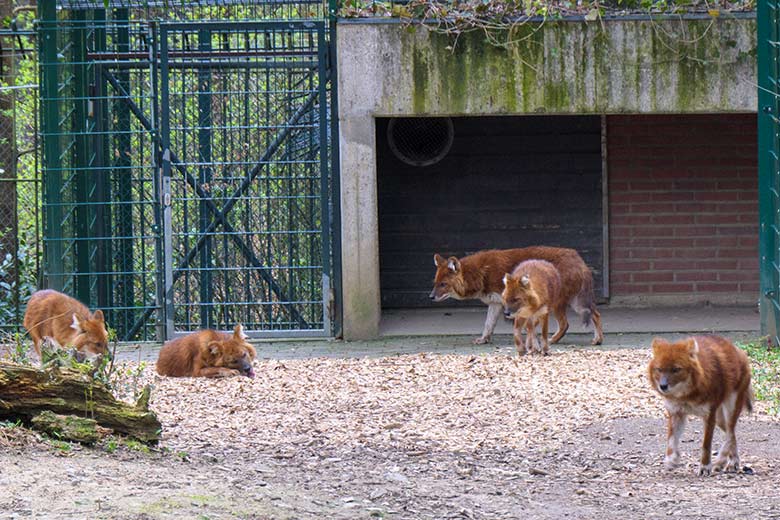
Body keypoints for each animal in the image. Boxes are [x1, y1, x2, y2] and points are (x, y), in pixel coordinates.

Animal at [430, 247, 600, 346]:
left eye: (443, 284)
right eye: (435, 283)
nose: (430, 297)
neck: (481, 272)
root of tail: (578, 259)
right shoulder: (496, 303)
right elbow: (488, 324)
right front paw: (484, 339)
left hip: (558, 301)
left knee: (565, 324)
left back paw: (551, 340)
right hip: (576, 301)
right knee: (596, 314)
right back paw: (598, 340)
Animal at [648, 336, 752, 478]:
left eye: (676, 369)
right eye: (659, 369)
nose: (663, 386)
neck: (686, 395)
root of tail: (739, 351)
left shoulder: (709, 415)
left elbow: (706, 445)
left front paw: (705, 466)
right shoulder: (676, 413)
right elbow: (671, 439)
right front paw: (671, 459)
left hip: (730, 408)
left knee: (730, 433)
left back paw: (723, 461)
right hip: (719, 418)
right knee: (731, 434)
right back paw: (730, 462)